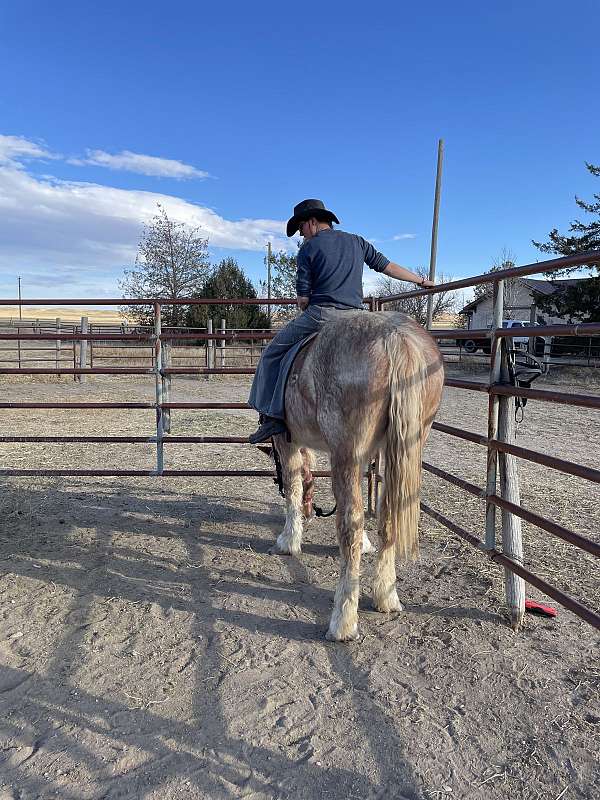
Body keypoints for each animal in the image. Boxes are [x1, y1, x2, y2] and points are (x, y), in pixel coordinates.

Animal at [268, 310, 444, 642]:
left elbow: (294, 487)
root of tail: (394, 339)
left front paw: (289, 540)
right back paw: (386, 596)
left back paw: (343, 621)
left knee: (349, 522)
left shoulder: (288, 441)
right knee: (387, 517)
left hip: (345, 452)